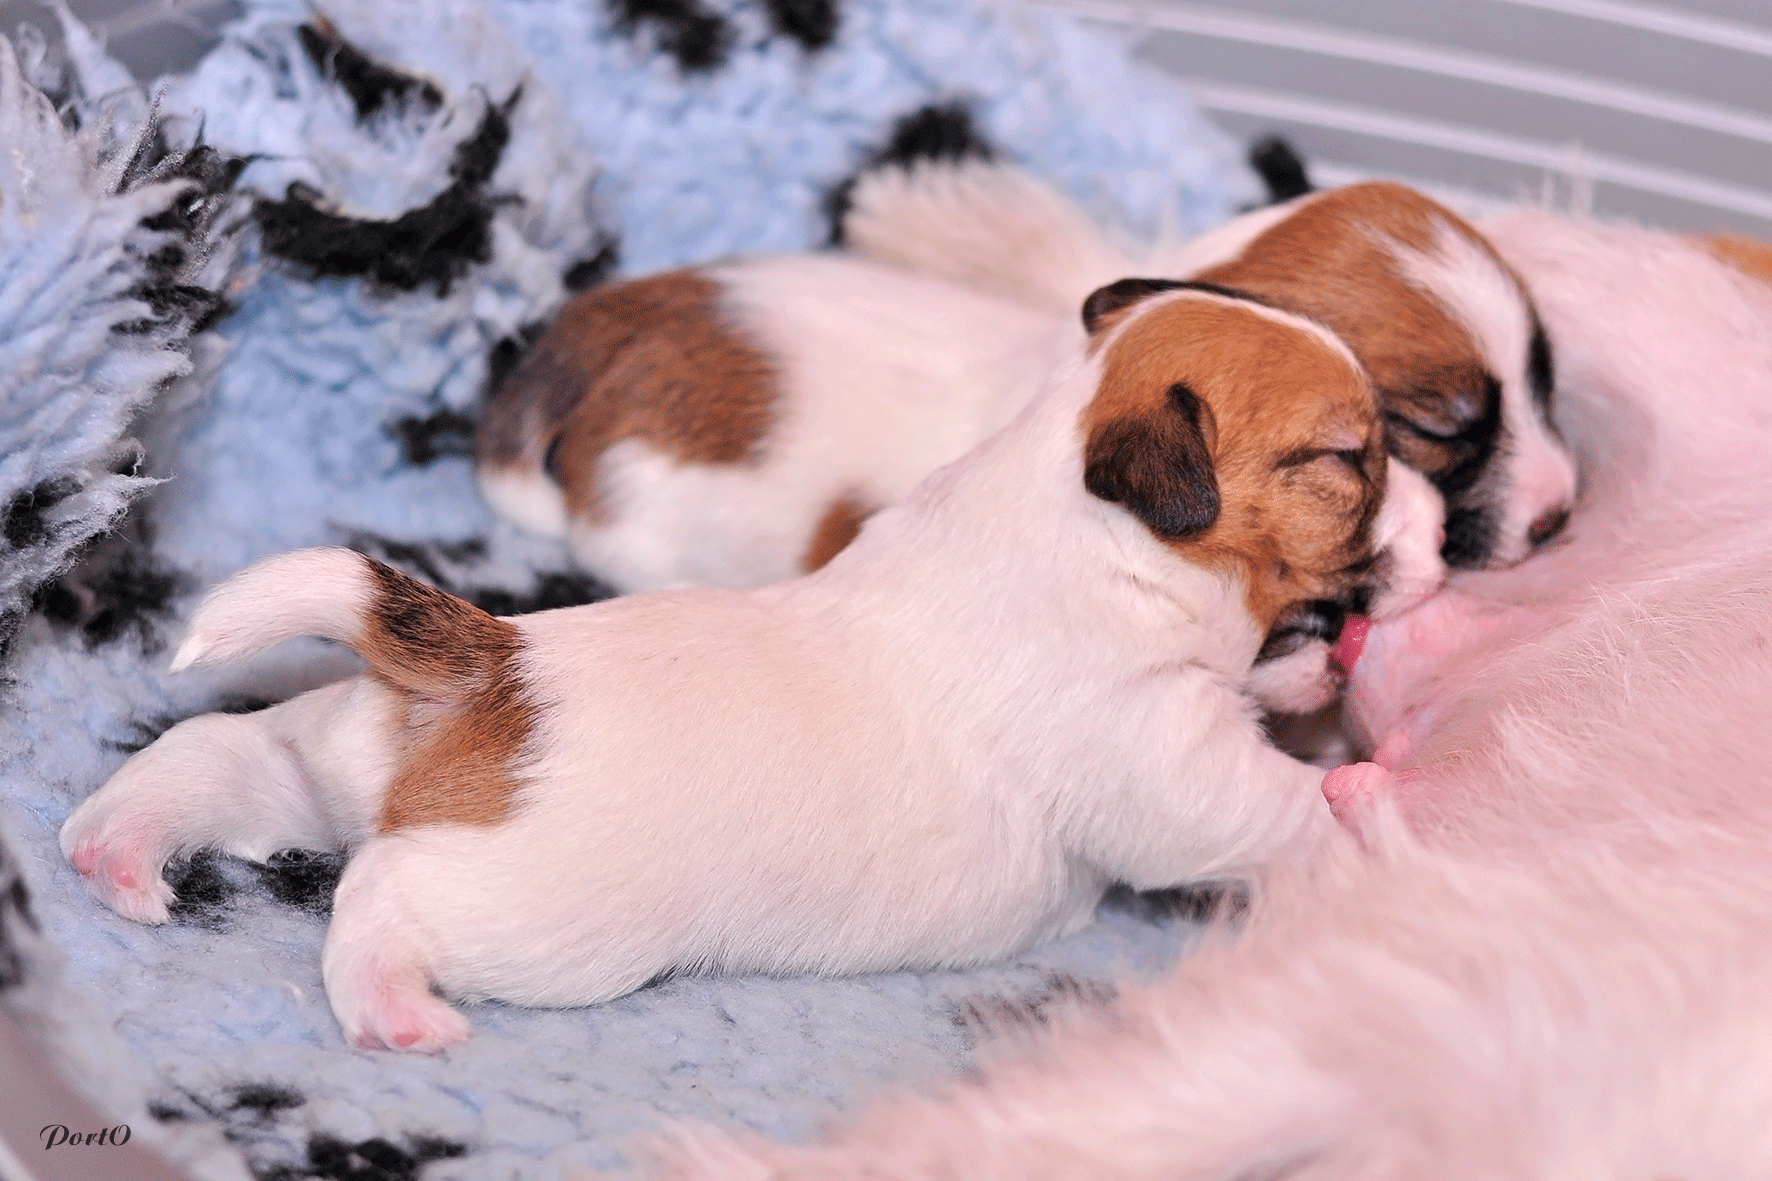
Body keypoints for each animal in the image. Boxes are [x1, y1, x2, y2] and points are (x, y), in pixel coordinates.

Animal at [65, 283, 1438, 1049]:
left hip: (336, 745)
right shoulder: (1158, 763)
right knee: (382, 897)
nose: (1454, 528)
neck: (1080, 516)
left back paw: (115, 848)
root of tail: (495, 669)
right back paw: (393, 1005)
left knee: (226, 749)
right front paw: (1369, 798)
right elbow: (1257, 805)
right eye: (1350, 457)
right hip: (538, 915)